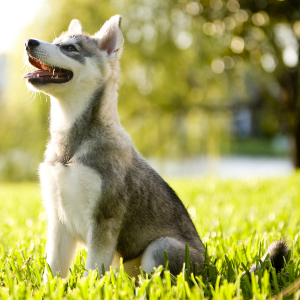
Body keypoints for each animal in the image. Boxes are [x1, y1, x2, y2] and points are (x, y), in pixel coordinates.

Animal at [22, 15, 290, 278]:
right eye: (57, 42)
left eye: (70, 48)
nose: (29, 42)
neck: (71, 145)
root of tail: (211, 271)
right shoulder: (58, 220)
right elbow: (52, 272)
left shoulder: (104, 219)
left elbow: (93, 272)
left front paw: (89, 288)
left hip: (161, 247)